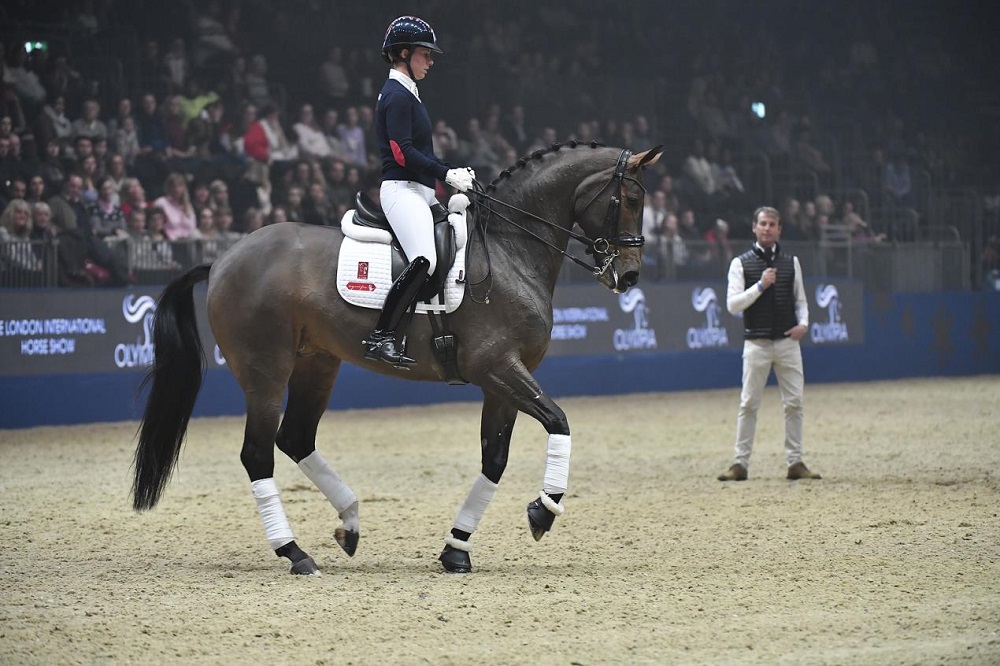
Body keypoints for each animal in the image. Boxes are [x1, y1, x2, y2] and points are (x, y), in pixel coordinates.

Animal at [133, 143, 664, 572]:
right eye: (630, 200)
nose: (630, 276)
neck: (509, 249)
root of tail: (223, 259)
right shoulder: (497, 368)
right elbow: (560, 422)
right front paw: (542, 511)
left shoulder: (505, 382)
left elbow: (495, 459)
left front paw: (456, 548)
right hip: (266, 373)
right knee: (258, 454)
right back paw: (295, 553)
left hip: (316, 363)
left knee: (296, 439)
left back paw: (349, 523)